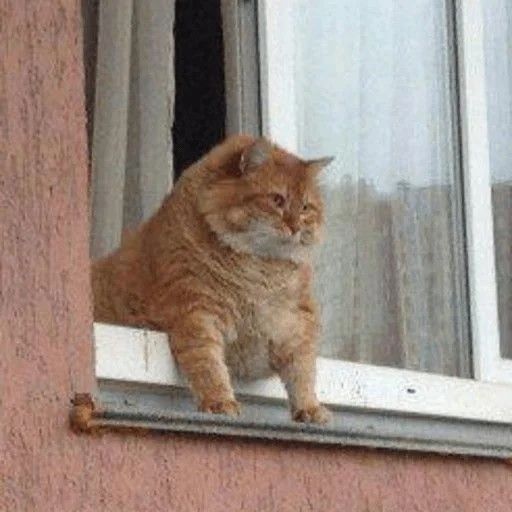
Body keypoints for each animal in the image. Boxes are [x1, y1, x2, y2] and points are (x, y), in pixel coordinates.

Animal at [92, 135, 333, 423]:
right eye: (277, 200)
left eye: (306, 207)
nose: (297, 227)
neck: (259, 270)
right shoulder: (196, 313)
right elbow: (208, 365)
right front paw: (220, 402)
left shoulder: (295, 324)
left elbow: (303, 372)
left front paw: (309, 408)